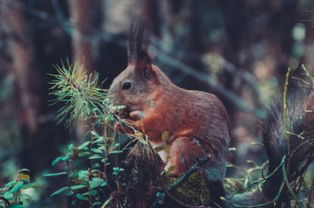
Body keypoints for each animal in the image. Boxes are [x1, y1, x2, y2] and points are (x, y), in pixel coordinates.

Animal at [108, 20, 314, 206]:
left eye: (127, 85)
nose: (108, 104)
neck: (155, 96)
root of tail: (217, 184)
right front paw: (122, 118)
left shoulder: (169, 111)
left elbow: (153, 128)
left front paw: (123, 124)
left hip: (188, 147)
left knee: (183, 167)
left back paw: (171, 174)